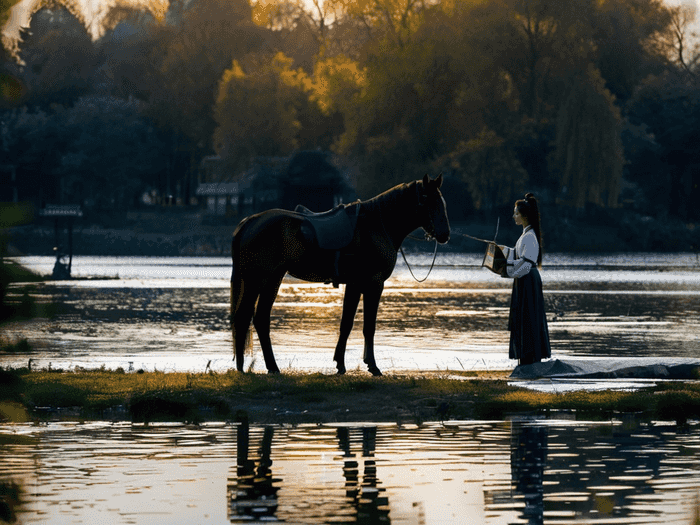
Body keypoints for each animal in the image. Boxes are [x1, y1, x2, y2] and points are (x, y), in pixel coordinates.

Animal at [228, 174, 448, 374]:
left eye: (442, 201)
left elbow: (346, 324)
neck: (376, 224)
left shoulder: (355, 284)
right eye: (429, 200)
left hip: (271, 279)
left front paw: (340, 364)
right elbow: (368, 326)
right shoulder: (374, 283)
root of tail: (249, 221)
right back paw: (254, 367)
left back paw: (259, 367)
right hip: (258, 280)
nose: (445, 234)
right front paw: (372, 365)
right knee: (247, 317)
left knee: (257, 319)